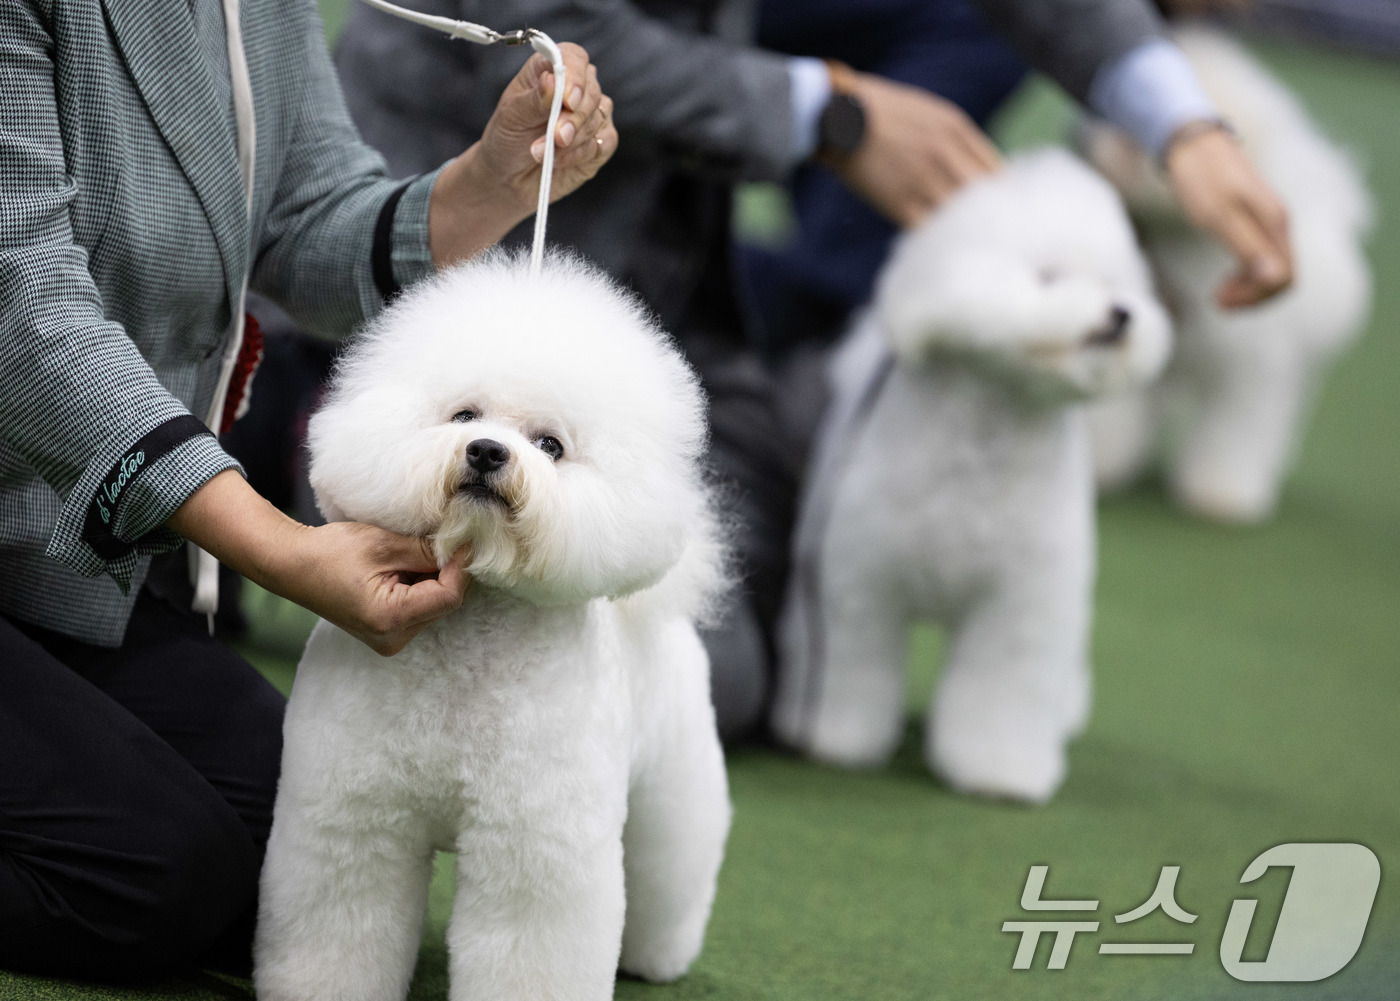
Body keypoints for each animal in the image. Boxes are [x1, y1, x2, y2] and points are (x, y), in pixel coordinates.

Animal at [254, 250, 733, 1001]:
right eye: (465, 414)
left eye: (550, 445)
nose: (485, 451)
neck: (469, 648)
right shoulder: (352, 817)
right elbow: (341, 920)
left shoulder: (534, 847)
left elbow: (529, 944)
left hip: (672, 785)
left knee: (669, 865)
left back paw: (658, 957)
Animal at [772, 150, 1176, 806]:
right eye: (1048, 274)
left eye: (1115, 283)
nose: (1121, 315)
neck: (989, 436)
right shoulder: (857, 582)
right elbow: (854, 666)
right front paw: (834, 740)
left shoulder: (1022, 602)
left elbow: (1003, 688)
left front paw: (999, 772)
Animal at [1080, 25, 1366, 523]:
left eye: (1133, 136)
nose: (1087, 141)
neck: (1187, 241)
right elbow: (1120, 410)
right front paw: (1101, 465)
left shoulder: (1253, 366)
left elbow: (1235, 432)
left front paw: (1220, 493)